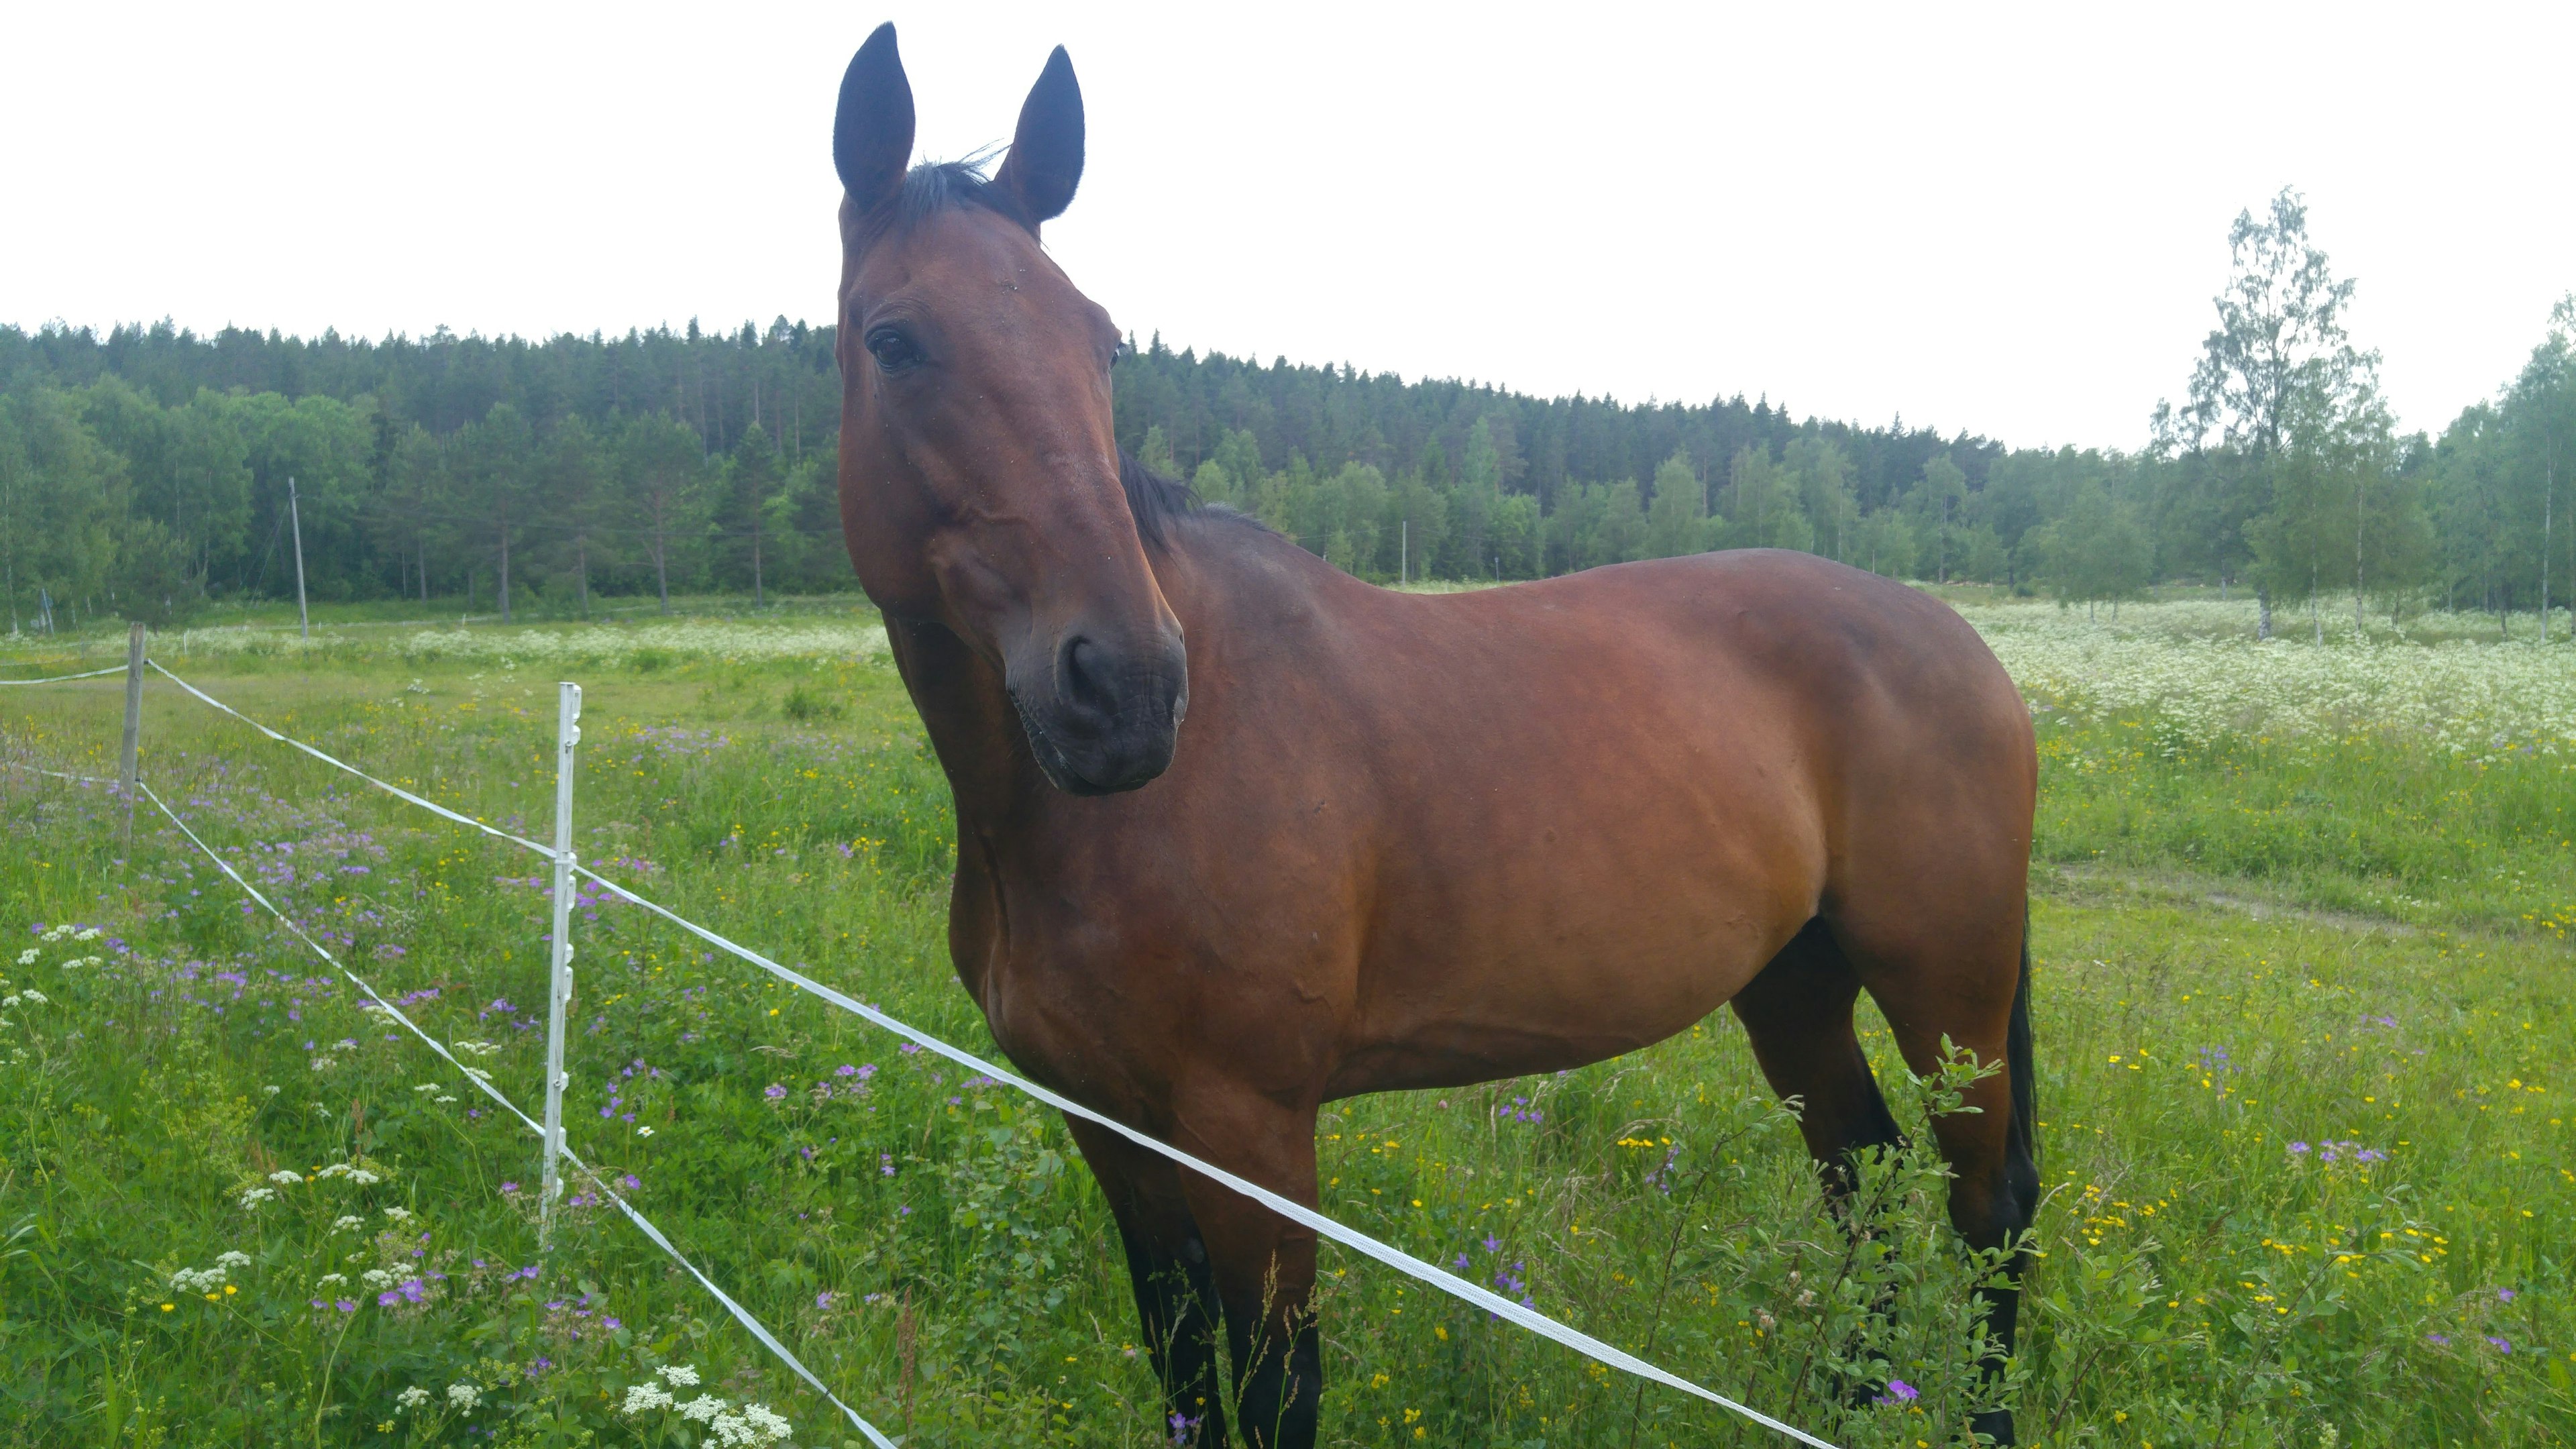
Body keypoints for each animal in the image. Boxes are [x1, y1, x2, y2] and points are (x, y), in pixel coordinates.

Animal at [824, 25, 2029, 1444]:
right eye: (894, 340)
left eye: (1102, 343)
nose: (1123, 688)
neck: (1090, 829)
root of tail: (1957, 642)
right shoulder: (1110, 1128)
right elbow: (1184, 1370)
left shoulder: (1251, 1132)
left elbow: (1275, 1388)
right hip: (1795, 987)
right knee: (1865, 1190)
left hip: (1949, 993)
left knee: (1987, 1217)